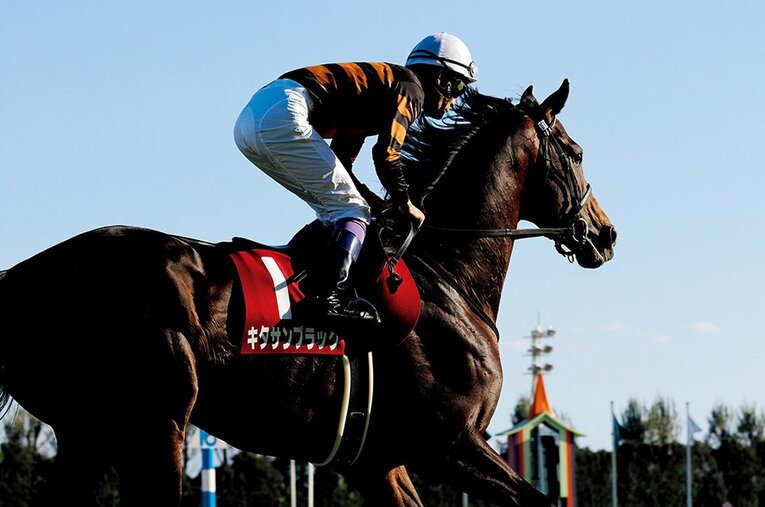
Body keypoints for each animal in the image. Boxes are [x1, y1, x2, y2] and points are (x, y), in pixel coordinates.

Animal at [0, 79, 616, 506]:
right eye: (578, 151)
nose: (605, 233)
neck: (446, 275)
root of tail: (24, 272)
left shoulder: (379, 461)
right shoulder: (451, 443)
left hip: (87, 432)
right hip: (158, 421)